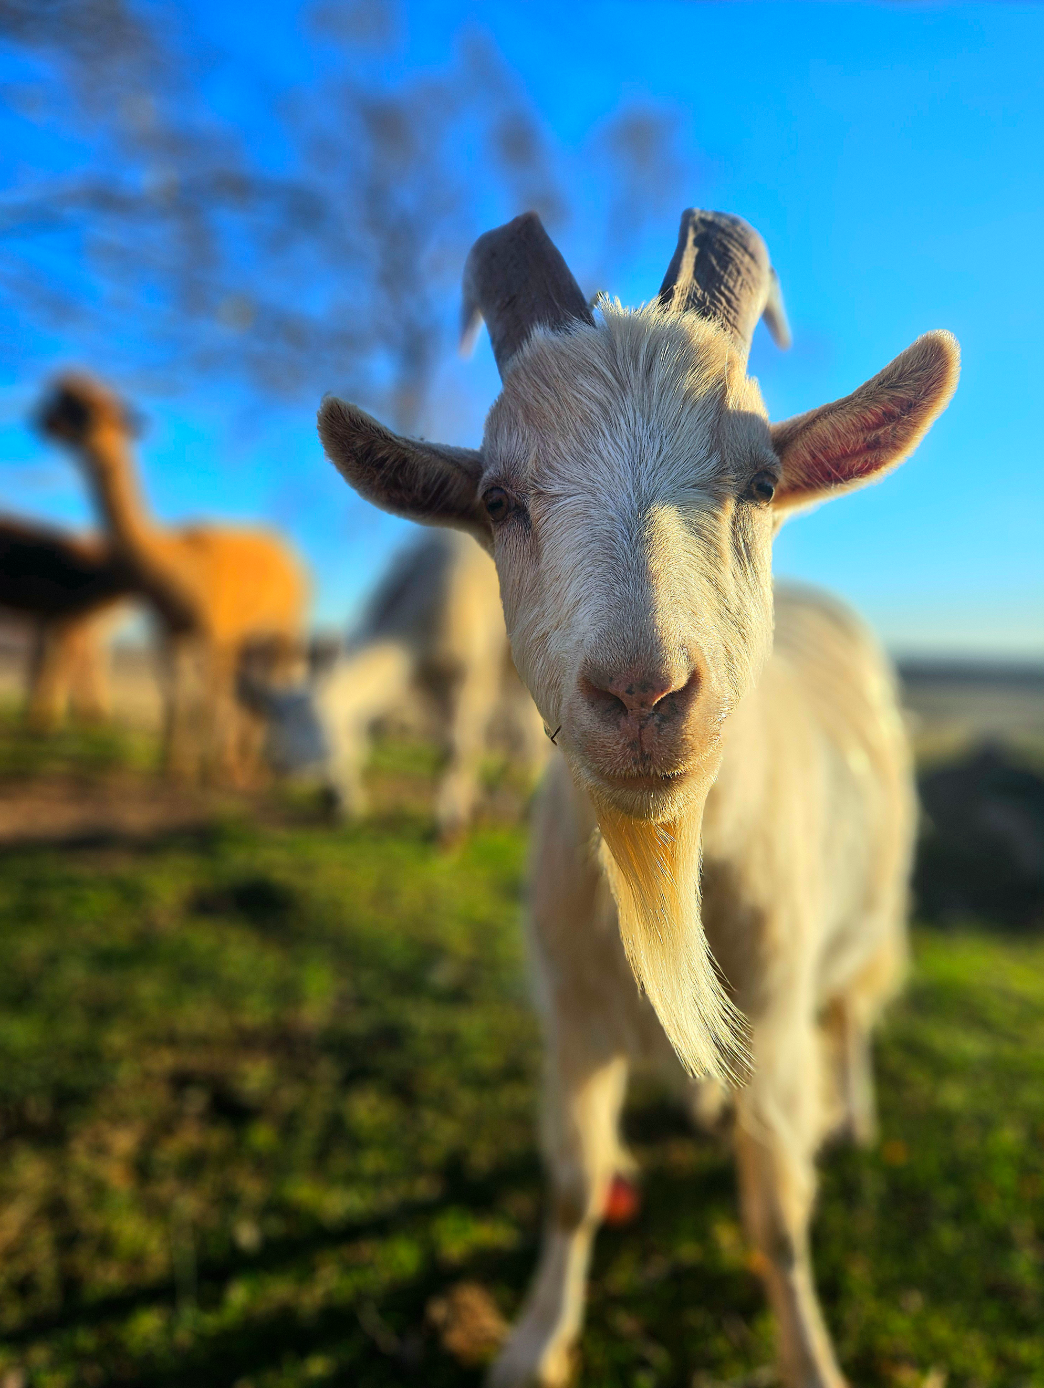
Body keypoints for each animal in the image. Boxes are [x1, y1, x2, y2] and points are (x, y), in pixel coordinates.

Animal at [266, 527, 547, 840]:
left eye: (317, 736)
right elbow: (444, 747)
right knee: (528, 734)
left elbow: (460, 747)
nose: (330, 803)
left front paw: (450, 826)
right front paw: (467, 805)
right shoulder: (426, 684)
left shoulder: (472, 672)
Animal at [316, 209, 959, 1387]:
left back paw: (854, 1112)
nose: (642, 694)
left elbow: (777, 1213)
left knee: (855, 1008)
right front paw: (533, 1343)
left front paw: (810, 1355)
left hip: (869, 913)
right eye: (497, 500)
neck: (663, 865)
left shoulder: (780, 1017)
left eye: (761, 482)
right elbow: (575, 1185)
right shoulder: (573, 1017)